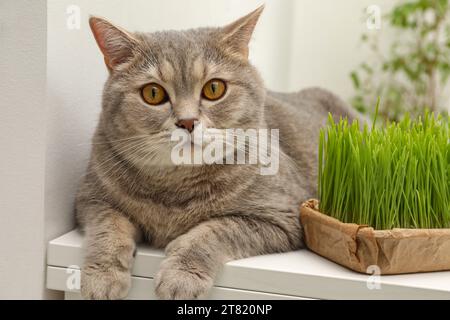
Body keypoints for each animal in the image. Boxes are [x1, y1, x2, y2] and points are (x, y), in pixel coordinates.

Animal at [74, 5, 362, 300]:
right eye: (153, 93)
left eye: (214, 88)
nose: (187, 122)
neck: (175, 191)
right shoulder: (91, 198)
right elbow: (108, 228)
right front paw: (102, 276)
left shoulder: (282, 216)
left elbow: (214, 230)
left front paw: (182, 275)